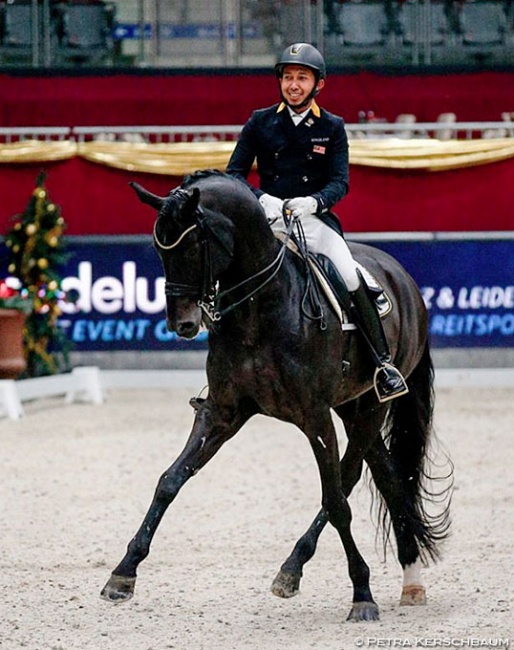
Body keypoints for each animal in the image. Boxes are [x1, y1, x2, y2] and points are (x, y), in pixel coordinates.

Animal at [99, 170, 448, 620]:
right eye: (159, 249)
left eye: (194, 246)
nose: (183, 324)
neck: (259, 309)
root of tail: (402, 277)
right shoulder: (223, 411)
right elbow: (170, 480)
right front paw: (123, 573)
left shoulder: (314, 417)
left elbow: (337, 502)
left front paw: (362, 595)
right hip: (351, 406)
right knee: (386, 475)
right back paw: (403, 579)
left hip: (371, 403)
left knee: (349, 478)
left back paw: (301, 569)